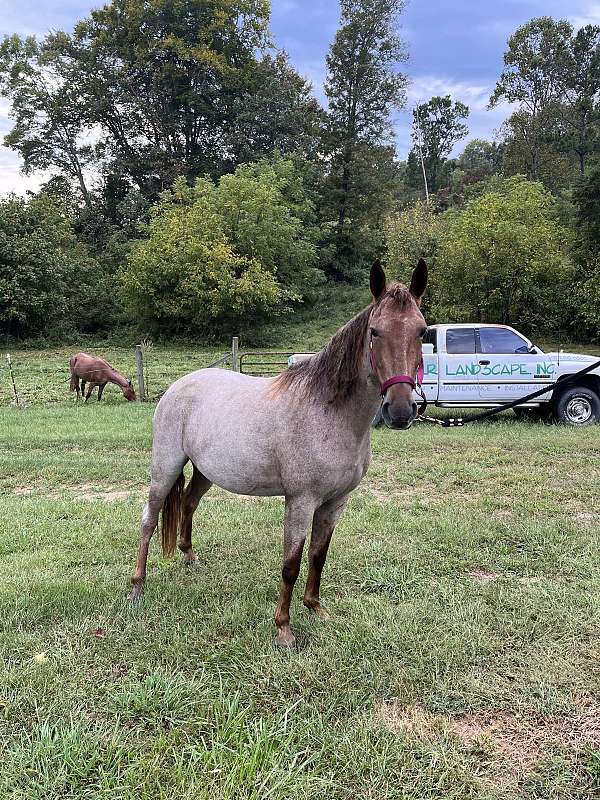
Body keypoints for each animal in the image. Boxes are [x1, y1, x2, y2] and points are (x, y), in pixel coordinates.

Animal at [127, 260, 426, 648]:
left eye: (422, 331)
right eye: (375, 332)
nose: (401, 411)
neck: (327, 412)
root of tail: (177, 386)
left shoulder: (335, 502)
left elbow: (318, 556)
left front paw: (315, 608)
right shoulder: (301, 501)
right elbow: (291, 564)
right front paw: (283, 628)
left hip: (206, 472)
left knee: (189, 504)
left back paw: (189, 557)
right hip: (164, 467)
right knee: (149, 519)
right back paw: (137, 586)